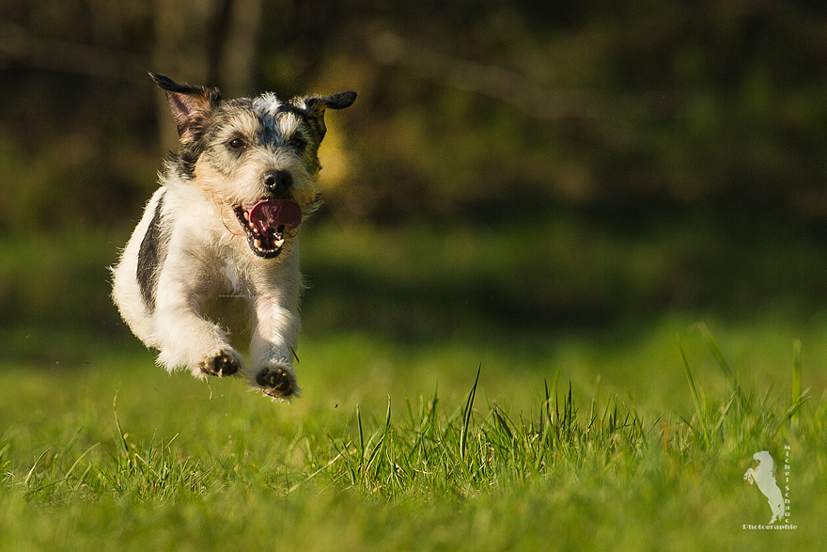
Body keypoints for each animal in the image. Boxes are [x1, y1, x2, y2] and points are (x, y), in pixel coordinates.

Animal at [111, 74, 356, 402]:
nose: (279, 177)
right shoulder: (177, 295)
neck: (231, 242)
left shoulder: (274, 297)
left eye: (298, 141)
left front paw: (277, 372)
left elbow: (276, 328)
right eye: (236, 142)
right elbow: (189, 321)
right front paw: (215, 355)